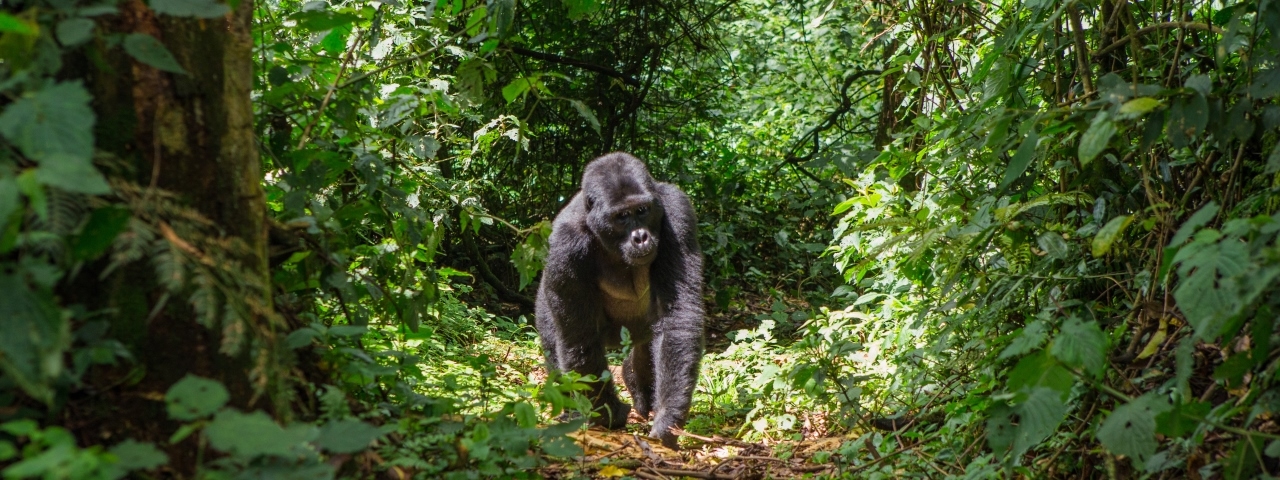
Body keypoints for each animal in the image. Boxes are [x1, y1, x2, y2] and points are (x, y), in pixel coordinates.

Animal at [535, 152, 706, 450]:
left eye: (642, 211)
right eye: (621, 216)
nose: (641, 237)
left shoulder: (677, 211)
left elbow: (677, 316)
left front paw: (668, 417)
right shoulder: (565, 244)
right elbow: (580, 337)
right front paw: (608, 414)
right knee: (555, 341)